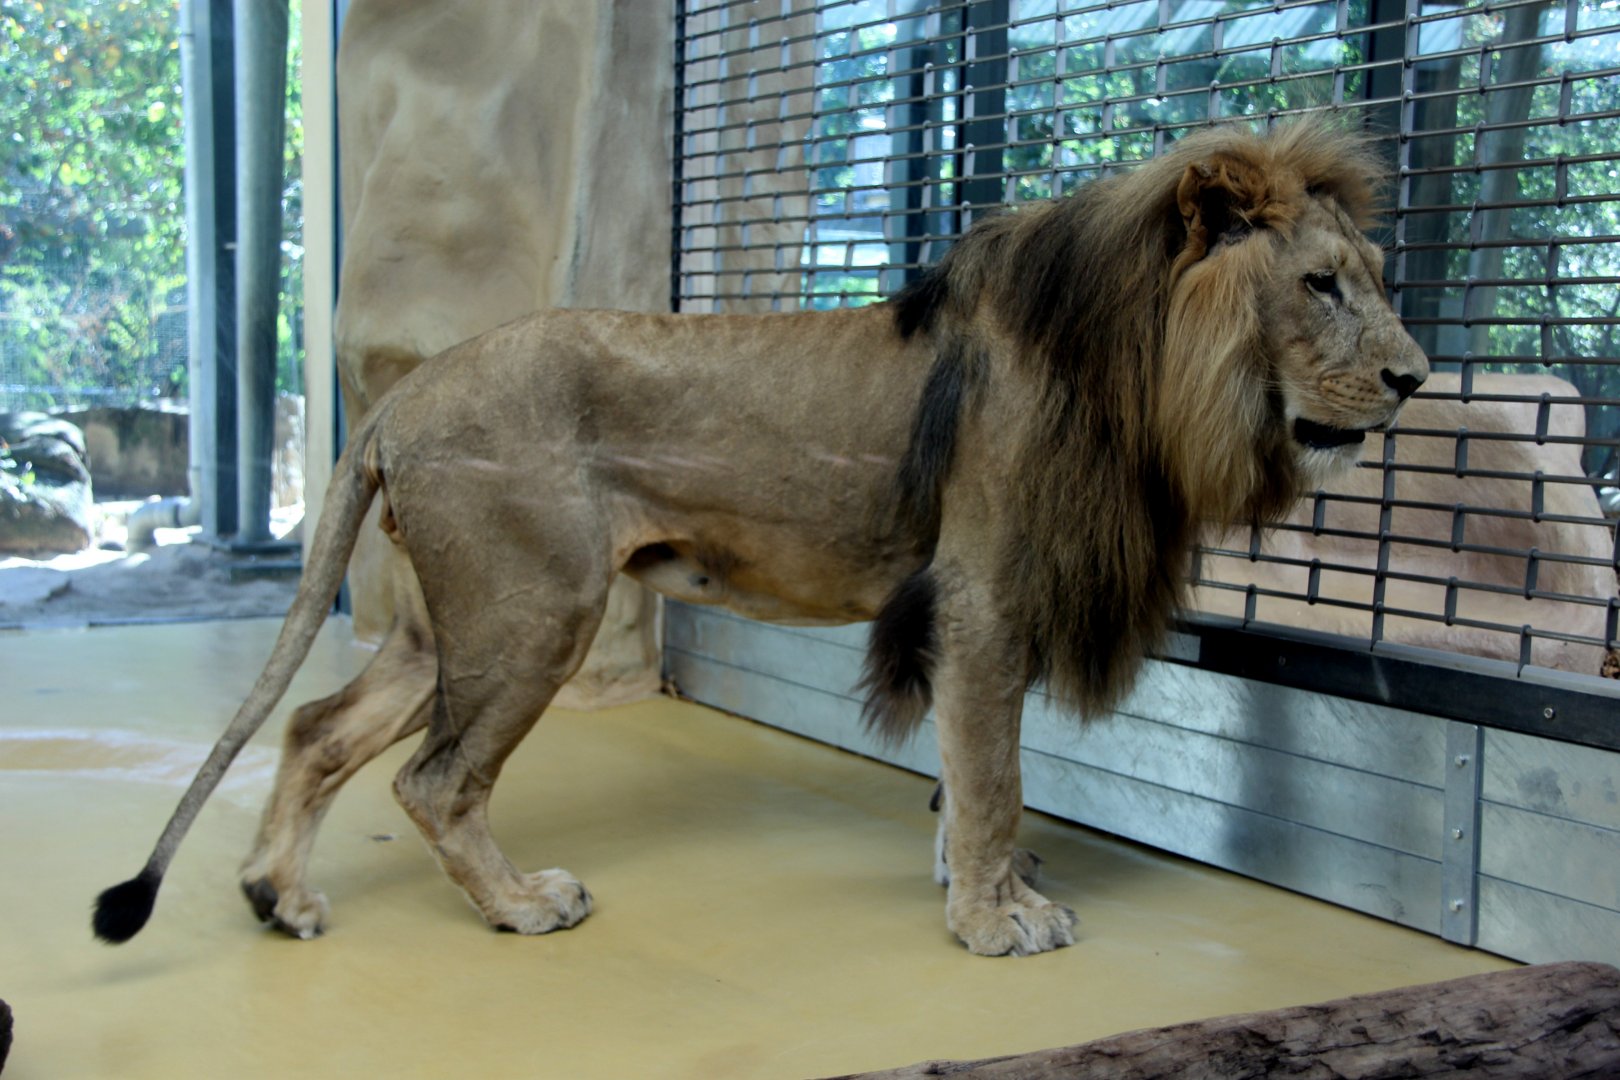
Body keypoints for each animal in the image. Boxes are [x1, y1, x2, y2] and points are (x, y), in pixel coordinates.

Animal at [93, 121, 1427, 957]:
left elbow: (965, 776)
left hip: (452, 622)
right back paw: (520, 905)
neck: (1135, 372)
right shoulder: (982, 596)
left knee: (318, 731)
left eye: (1371, 273)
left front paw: (976, 883)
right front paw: (996, 920)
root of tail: (402, 393)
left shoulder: (967, 608)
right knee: (432, 778)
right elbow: (997, 775)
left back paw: (280, 897)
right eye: (1321, 285)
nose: (1416, 378)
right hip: (537, 610)